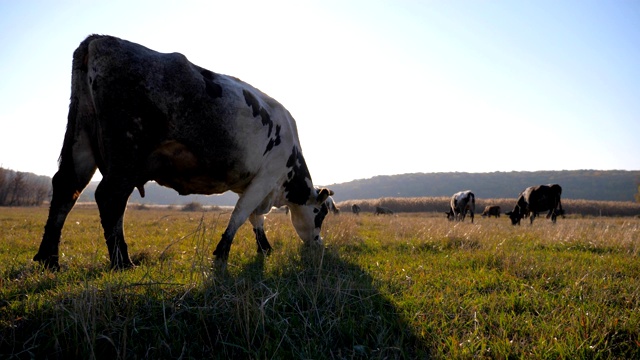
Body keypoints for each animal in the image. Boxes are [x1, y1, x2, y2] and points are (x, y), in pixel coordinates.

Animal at [33, 35, 336, 270]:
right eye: (320, 214)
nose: (318, 245)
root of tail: (99, 39)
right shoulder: (266, 176)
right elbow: (240, 214)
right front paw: (222, 254)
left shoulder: (253, 184)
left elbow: (255, 218)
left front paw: (264, 248)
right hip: (126, 152)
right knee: (109, 196)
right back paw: (122, 262)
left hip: (81, 139)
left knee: (66, 187)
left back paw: (49, 259)